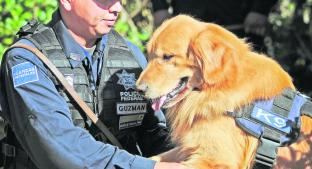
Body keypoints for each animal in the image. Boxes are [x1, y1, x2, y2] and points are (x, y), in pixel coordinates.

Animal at [136, 14, 312, 169]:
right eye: (149, 55)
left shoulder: (217, 161)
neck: (219, 86)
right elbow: (154, 158)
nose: (138, 89)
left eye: (168, 56)